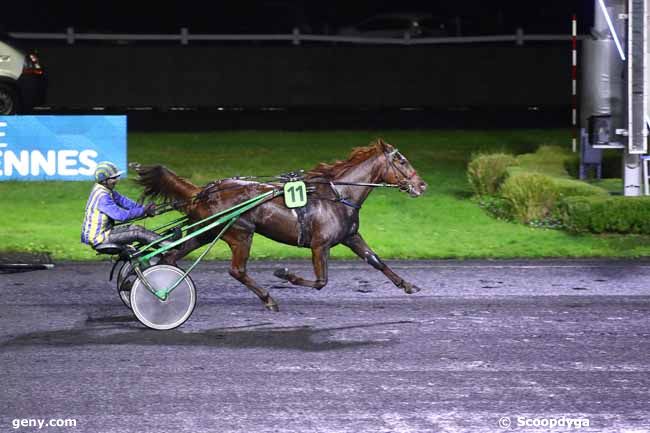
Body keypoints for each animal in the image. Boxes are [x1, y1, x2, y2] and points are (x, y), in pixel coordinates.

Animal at [133, 138, 426, 310]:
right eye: (401, 160)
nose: (422, 185)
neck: (338, 194)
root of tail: (205, 191)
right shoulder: (320, 245)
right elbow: (321, 281)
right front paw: (285, 274)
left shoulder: (350, 237)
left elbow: (376, 260)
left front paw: (408, 285)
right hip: (240, 233)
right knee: (237, 270)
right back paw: (268, 299)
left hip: (205, 232)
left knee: (171, 256)